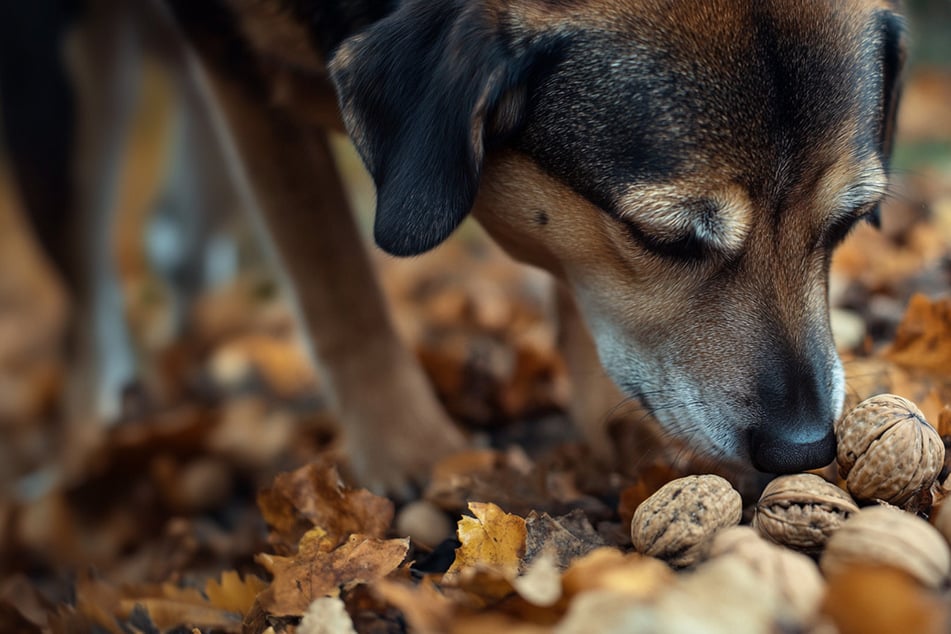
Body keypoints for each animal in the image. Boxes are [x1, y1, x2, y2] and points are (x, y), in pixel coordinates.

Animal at [0, 0, 904, 494]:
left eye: (849, 222)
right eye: (661, 238)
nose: (803, 449)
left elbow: (572, 285)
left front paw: (611, 422)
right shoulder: (237, 65)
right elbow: (333, 281)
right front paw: (409, 453)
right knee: (87, 301)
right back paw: (80, 458)